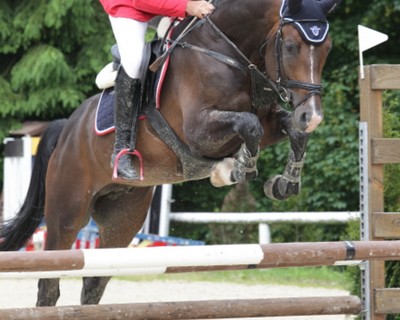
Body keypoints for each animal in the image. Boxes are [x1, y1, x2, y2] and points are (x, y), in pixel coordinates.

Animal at [0, 0, 340, 306]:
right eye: (292, 46)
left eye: (327, 48)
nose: (313, 116)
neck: (229, 53)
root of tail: (66, 129)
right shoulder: (198, 130)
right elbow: (248, 124)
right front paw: (237, 168)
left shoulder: (269, 122)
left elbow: (287, 130)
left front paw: (285, 183)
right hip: (67, 212)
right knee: (49, 284)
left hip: (122, 218)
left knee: (94, 283)